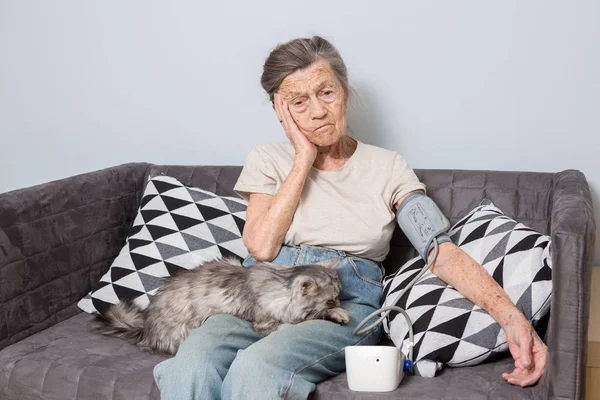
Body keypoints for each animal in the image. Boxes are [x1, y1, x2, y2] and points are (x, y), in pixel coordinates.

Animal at [91, 256, 350, 354]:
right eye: (330, 298)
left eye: (340, 294)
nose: (338, 301)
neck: (280, 282)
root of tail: (145, 328)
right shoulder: (267, 321)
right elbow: (309, 317)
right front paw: (337, 313)